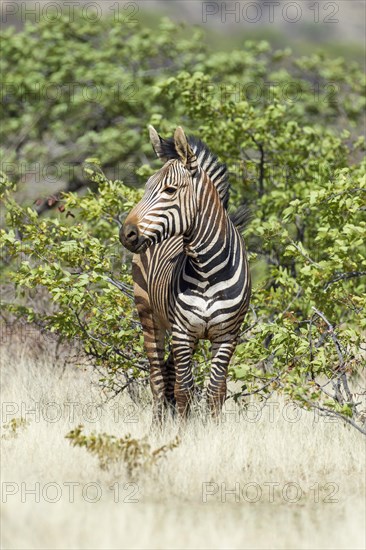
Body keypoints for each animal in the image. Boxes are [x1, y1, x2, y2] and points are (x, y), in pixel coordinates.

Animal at [120, 127, 252, 424]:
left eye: (170, 190)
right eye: (146, 187)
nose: (126, 234)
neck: (208, 269)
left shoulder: (227, 335)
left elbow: (215, 391)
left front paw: (212, 430)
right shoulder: (182, 332)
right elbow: (184, 390)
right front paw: (181, 432)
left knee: (171, 374)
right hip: (149, 317)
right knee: (158, 380)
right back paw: (158, 427)